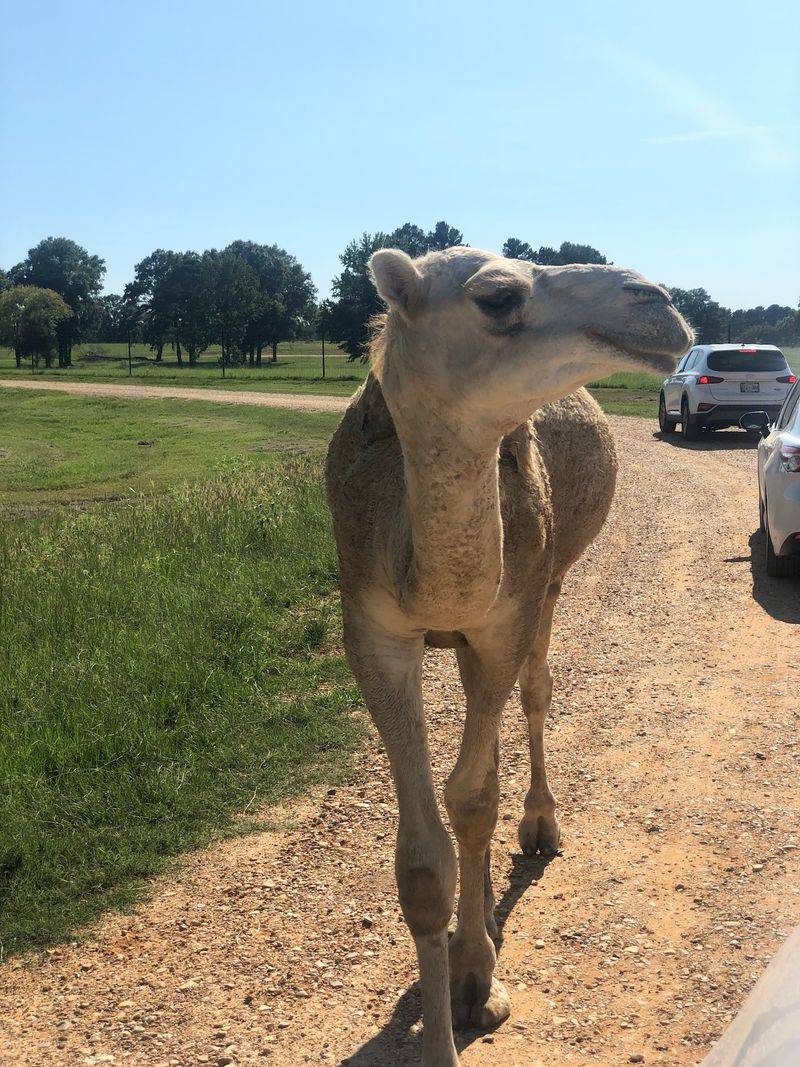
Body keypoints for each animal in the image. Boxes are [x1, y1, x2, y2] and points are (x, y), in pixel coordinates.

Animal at [325, 246, 692, 1066]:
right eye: (497, 296)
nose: (658, 302)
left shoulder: (504, 618)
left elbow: (472, 797)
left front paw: (475, 979)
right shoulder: (373, 631)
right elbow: (425, 855)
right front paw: (445, 1020)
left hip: (546, 584)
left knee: (534, 694)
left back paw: (538, 831)